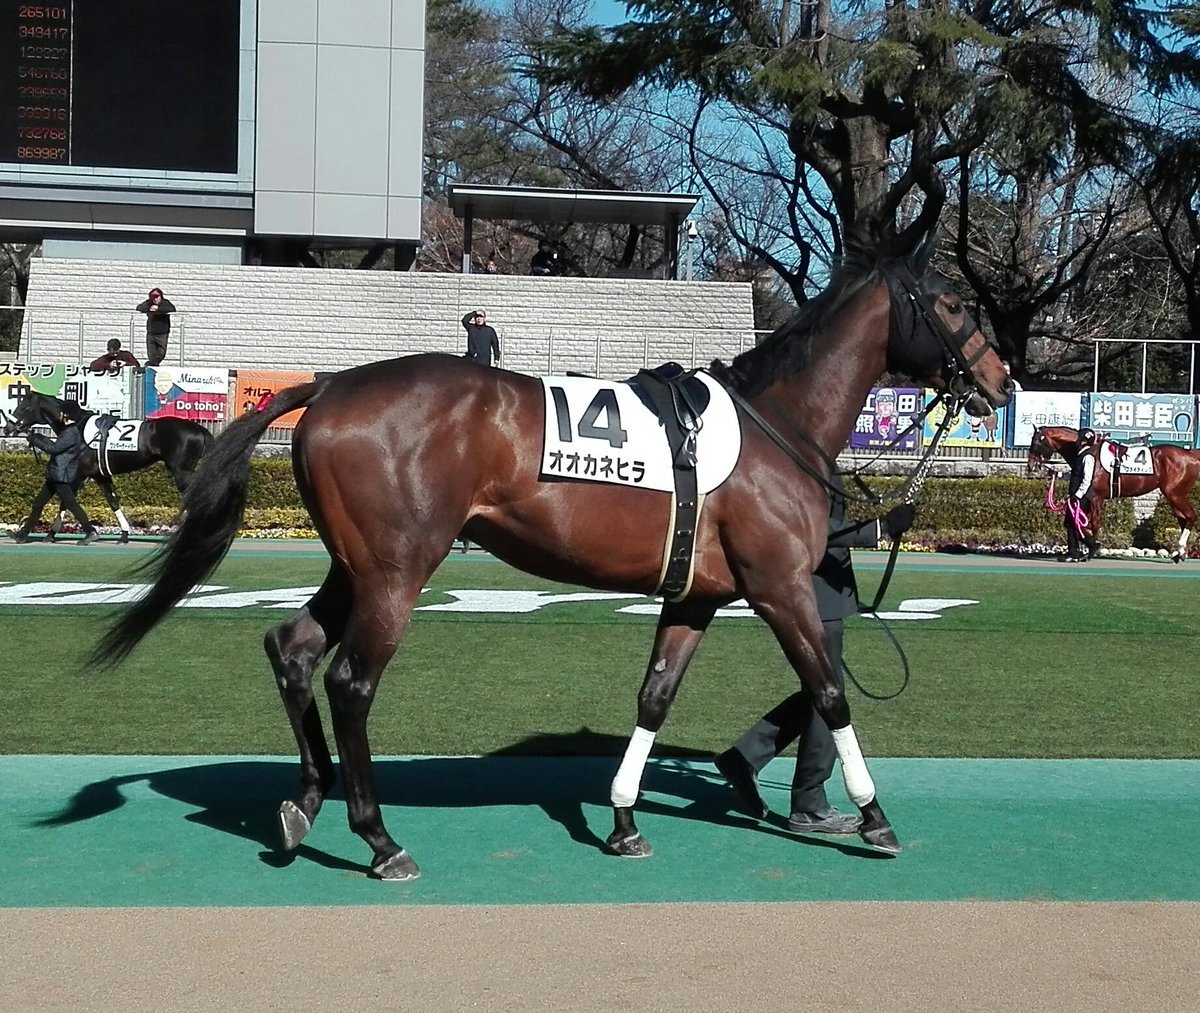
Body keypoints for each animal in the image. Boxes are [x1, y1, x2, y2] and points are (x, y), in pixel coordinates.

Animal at [4, 391, 213, 542]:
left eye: (24, 407)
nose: (8, 428)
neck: (77, 425)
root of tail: (200, 430)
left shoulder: (78, 474)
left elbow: (66, 501)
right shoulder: (99, 475)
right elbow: (111, 501)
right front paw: (124, 535)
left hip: (181, 472)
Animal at [94, 242, 1013, 880]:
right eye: (950, 299)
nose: (1001, 380)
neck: (773, 425)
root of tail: (328, 384)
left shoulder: (696, 597)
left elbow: (654, 696)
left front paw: (625, 820)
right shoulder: (780, 586)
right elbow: (828, 692)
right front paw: (875, 816)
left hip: (355, 567)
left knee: (291, 649)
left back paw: (305, 802)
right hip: (396, 573)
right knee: (350, 681)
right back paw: (380, 838)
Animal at [1027, 425, 1200, 561]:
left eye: (1036, 442)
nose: (1030, 465)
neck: (1090, 452)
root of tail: (1191, 454)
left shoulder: (1096, 497)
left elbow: (1094, 523)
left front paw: (1091, 550)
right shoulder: (1087, 500)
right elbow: (1078, 521)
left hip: (1174, 494)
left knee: (1191, 516)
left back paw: (1180, 550)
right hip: (1175, 495)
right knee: (1183, 519)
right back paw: (1179, 553)